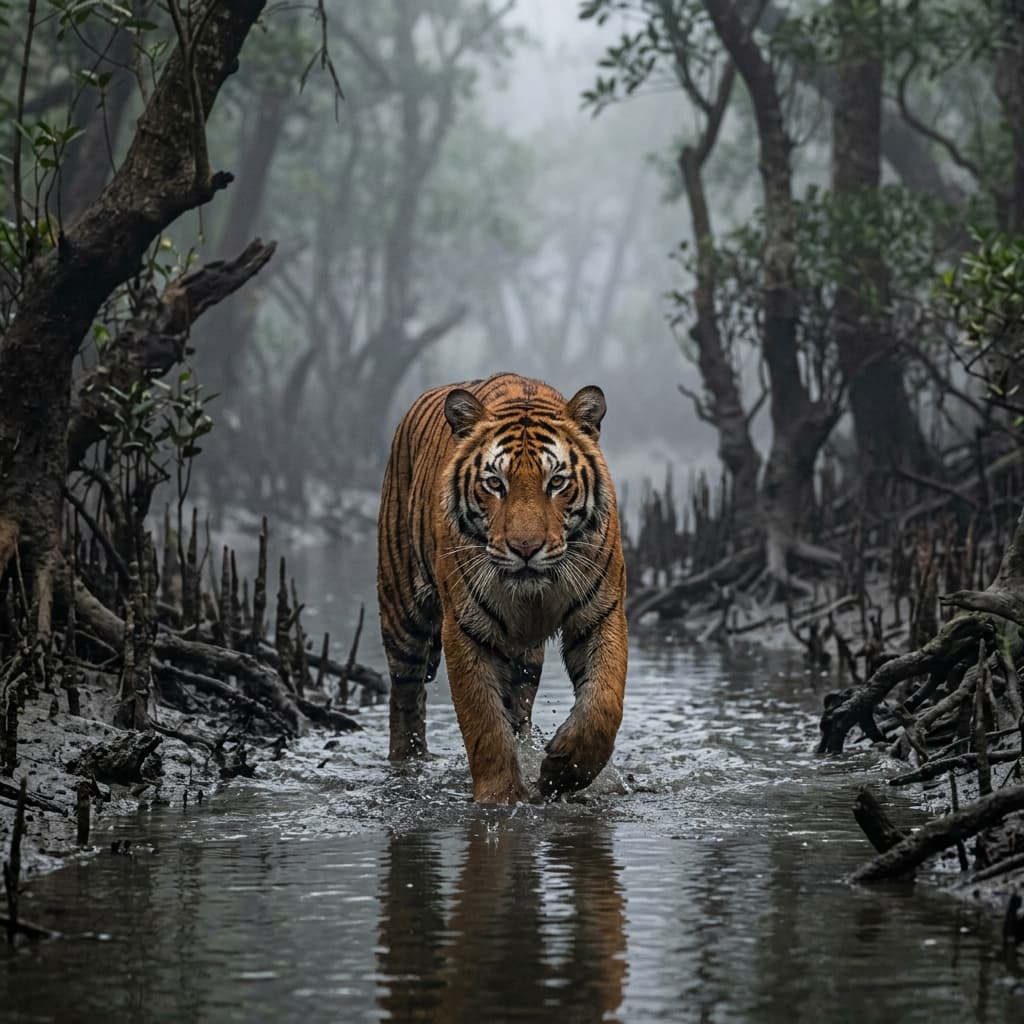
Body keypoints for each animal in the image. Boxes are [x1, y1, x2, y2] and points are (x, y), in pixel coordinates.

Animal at [376, 372, 628, 804]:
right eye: (495, 483)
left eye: (556, 482)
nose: (525, 548)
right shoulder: (465, 629)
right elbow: (484, 725)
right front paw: (501, 799)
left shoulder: (602, 613)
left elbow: (603, 703)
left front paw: (562, 771)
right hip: (402, 614)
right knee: (405, 698)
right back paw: (407, 764)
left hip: (524, 660)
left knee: (517, 708)